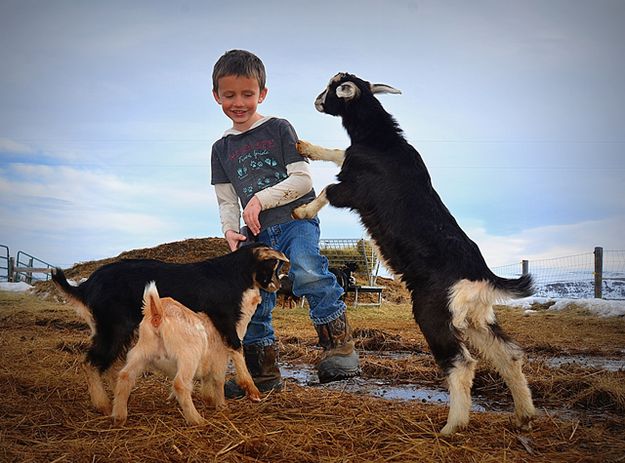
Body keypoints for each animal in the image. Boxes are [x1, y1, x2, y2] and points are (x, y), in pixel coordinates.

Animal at [53, 243, 288, 416]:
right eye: (273, 264)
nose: (278, 286)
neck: (236, 275)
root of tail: (86, 286)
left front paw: (209, 396)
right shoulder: (225, 320)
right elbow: (236, 348)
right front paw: (252, 390)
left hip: (116, 331)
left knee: (111, 364)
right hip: (113, 328)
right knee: (91, 362)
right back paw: (102, 404)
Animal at [290, 73, 532, 438]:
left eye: (334, 86)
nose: (316, 101)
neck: (381, 141)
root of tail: (481, 274)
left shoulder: (353, 188)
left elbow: (328, 190)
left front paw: (302, 210)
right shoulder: (350, 161)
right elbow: (336, 152)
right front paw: (305, 146)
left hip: (433, 313)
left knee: (462, 363)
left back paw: (452, 426)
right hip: (476, 317)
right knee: (510, 354)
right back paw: (523, 414)